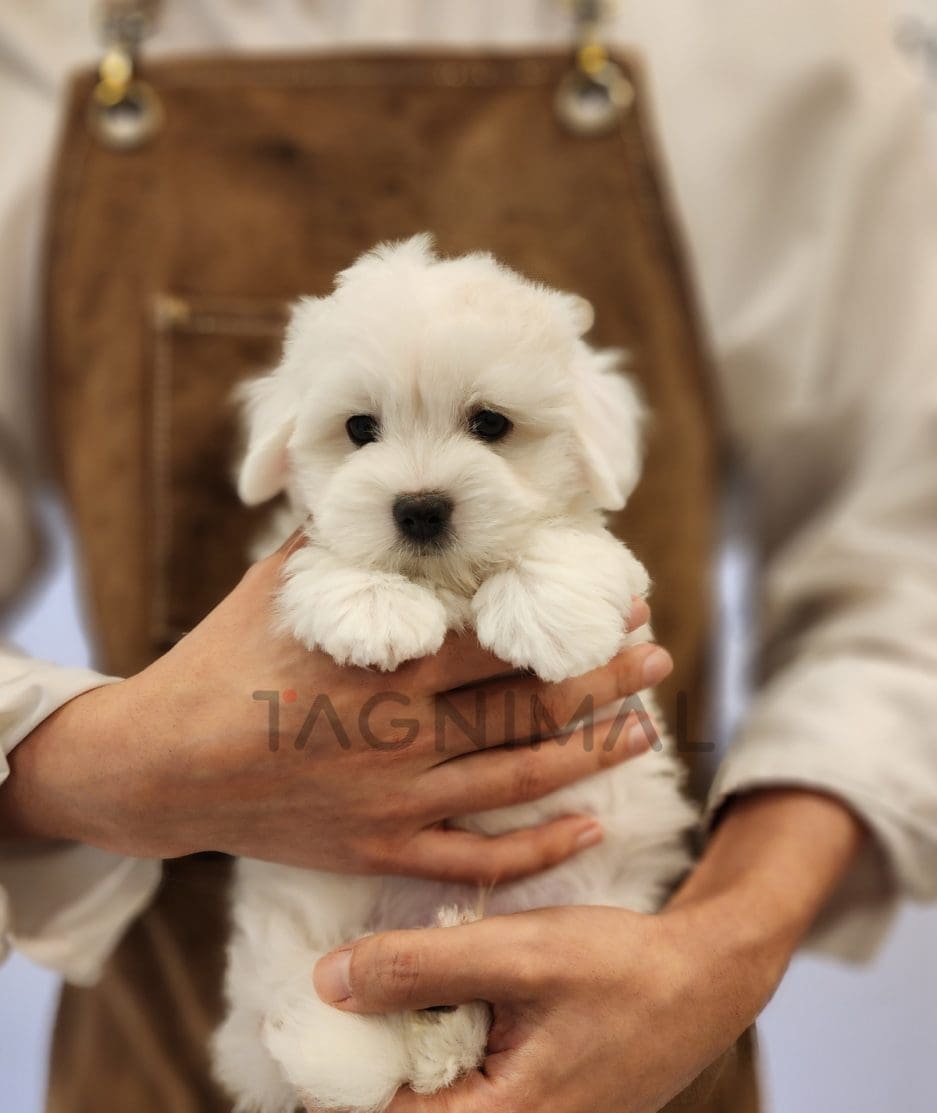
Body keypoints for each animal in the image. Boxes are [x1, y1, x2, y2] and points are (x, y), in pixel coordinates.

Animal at [211, 237, 694, 1113]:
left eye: (489, 423)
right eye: (359, 428)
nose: (420, 507)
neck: (453, 589)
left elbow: (574, 544)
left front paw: (546, 605)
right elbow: (324, 551)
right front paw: (371, 605)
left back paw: (446, 1008)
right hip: (302, 908)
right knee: (300, 1019)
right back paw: (393, 1019)